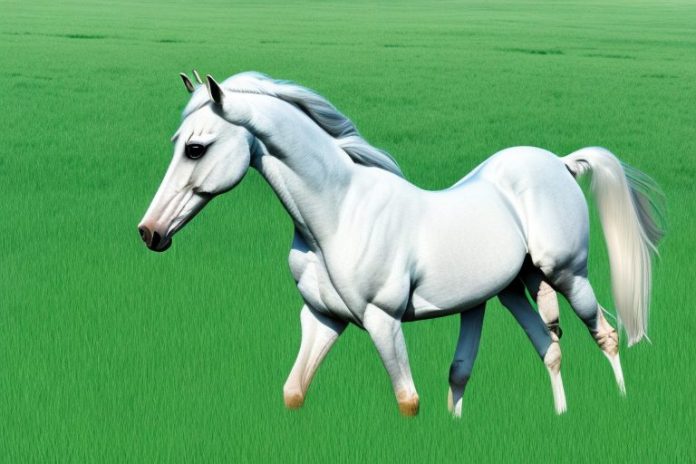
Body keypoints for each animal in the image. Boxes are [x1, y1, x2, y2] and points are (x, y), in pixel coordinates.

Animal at [138, 70, 665, 417]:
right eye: (176, 142)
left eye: (196, 148)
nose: (150, 233)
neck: (339, 212)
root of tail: (559, 163)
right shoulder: (323, 319)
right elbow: (294, 391)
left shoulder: (382, 320)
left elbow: (408, 401)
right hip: (515, 289)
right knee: (549, 350)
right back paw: (560, 416)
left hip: (568, 275)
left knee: (607, 336)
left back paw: (621, 405)